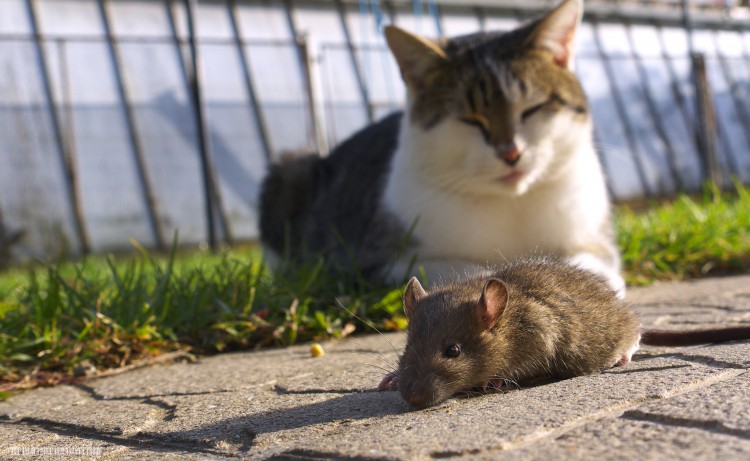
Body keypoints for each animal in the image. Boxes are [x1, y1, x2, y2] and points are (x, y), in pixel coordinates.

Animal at [256, 0, 624, 294]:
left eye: (531, 109)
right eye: (470, 120)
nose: (510, 153)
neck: (509, 205)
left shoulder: (595, 241)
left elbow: (593, 267)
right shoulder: (382, 260)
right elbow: (462, 269)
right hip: (292, 169)